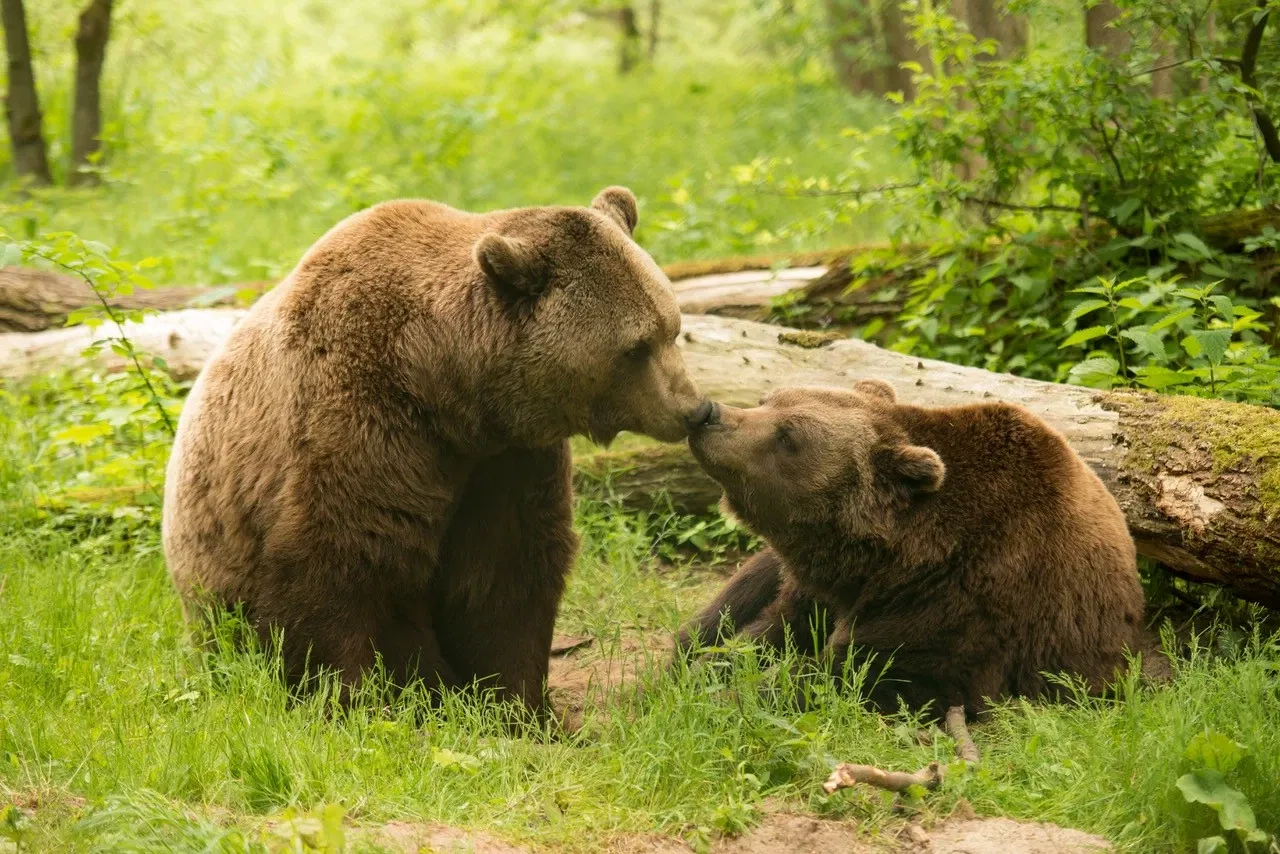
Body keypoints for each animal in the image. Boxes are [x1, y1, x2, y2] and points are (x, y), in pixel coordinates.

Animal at [162, 186, 715, 714]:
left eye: (672, 327)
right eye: (635, 348)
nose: (695, 408)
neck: (441, 383)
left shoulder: (507, 458)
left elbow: (507, 570)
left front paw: (519, 705)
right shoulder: (359, 421)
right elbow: (338, 561)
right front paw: (350, 699)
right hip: (216, 590)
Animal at [676, 380, 1144, 718]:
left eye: (789, 435)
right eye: (765, 400)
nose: (709, 414)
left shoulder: (965, 601)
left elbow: (864, 672)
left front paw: (724, 699)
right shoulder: (816, 586)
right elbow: (761, 632)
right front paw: (693, 677)